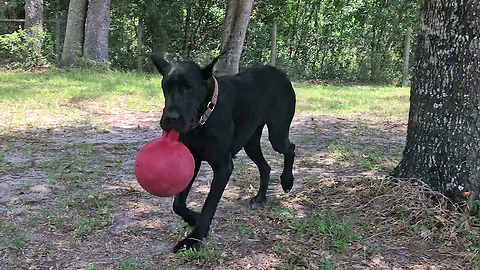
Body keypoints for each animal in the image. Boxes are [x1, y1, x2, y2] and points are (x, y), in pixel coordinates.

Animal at [146, 53, 296, 253]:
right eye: (165, 87)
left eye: (188, 87)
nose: (170, 118)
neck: (206, 113)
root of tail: (281, 73)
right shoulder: (192, 160)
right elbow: (178, 204)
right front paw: (193, 218)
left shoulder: (223, 167)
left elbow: (209, 206)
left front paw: (194, 238)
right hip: (251, 143)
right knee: (265, 166)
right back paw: (260, 197)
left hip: (277, 134)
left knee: (290, 149)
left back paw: (287, 181)